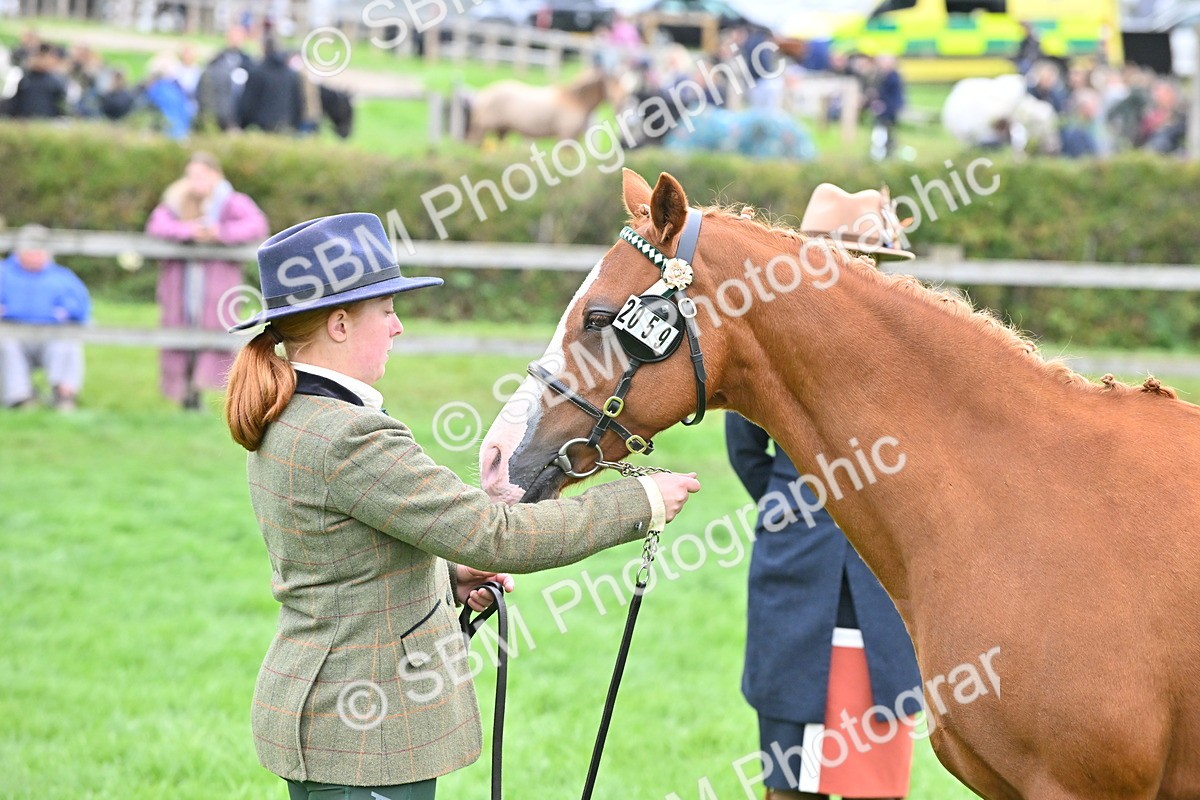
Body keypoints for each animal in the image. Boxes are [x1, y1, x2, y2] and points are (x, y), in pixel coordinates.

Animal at [465, 70, 615, 143]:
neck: (574, 100)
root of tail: (482, 95)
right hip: (482, 128)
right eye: (613, 81)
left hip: (502, 130)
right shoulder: (566, 135)